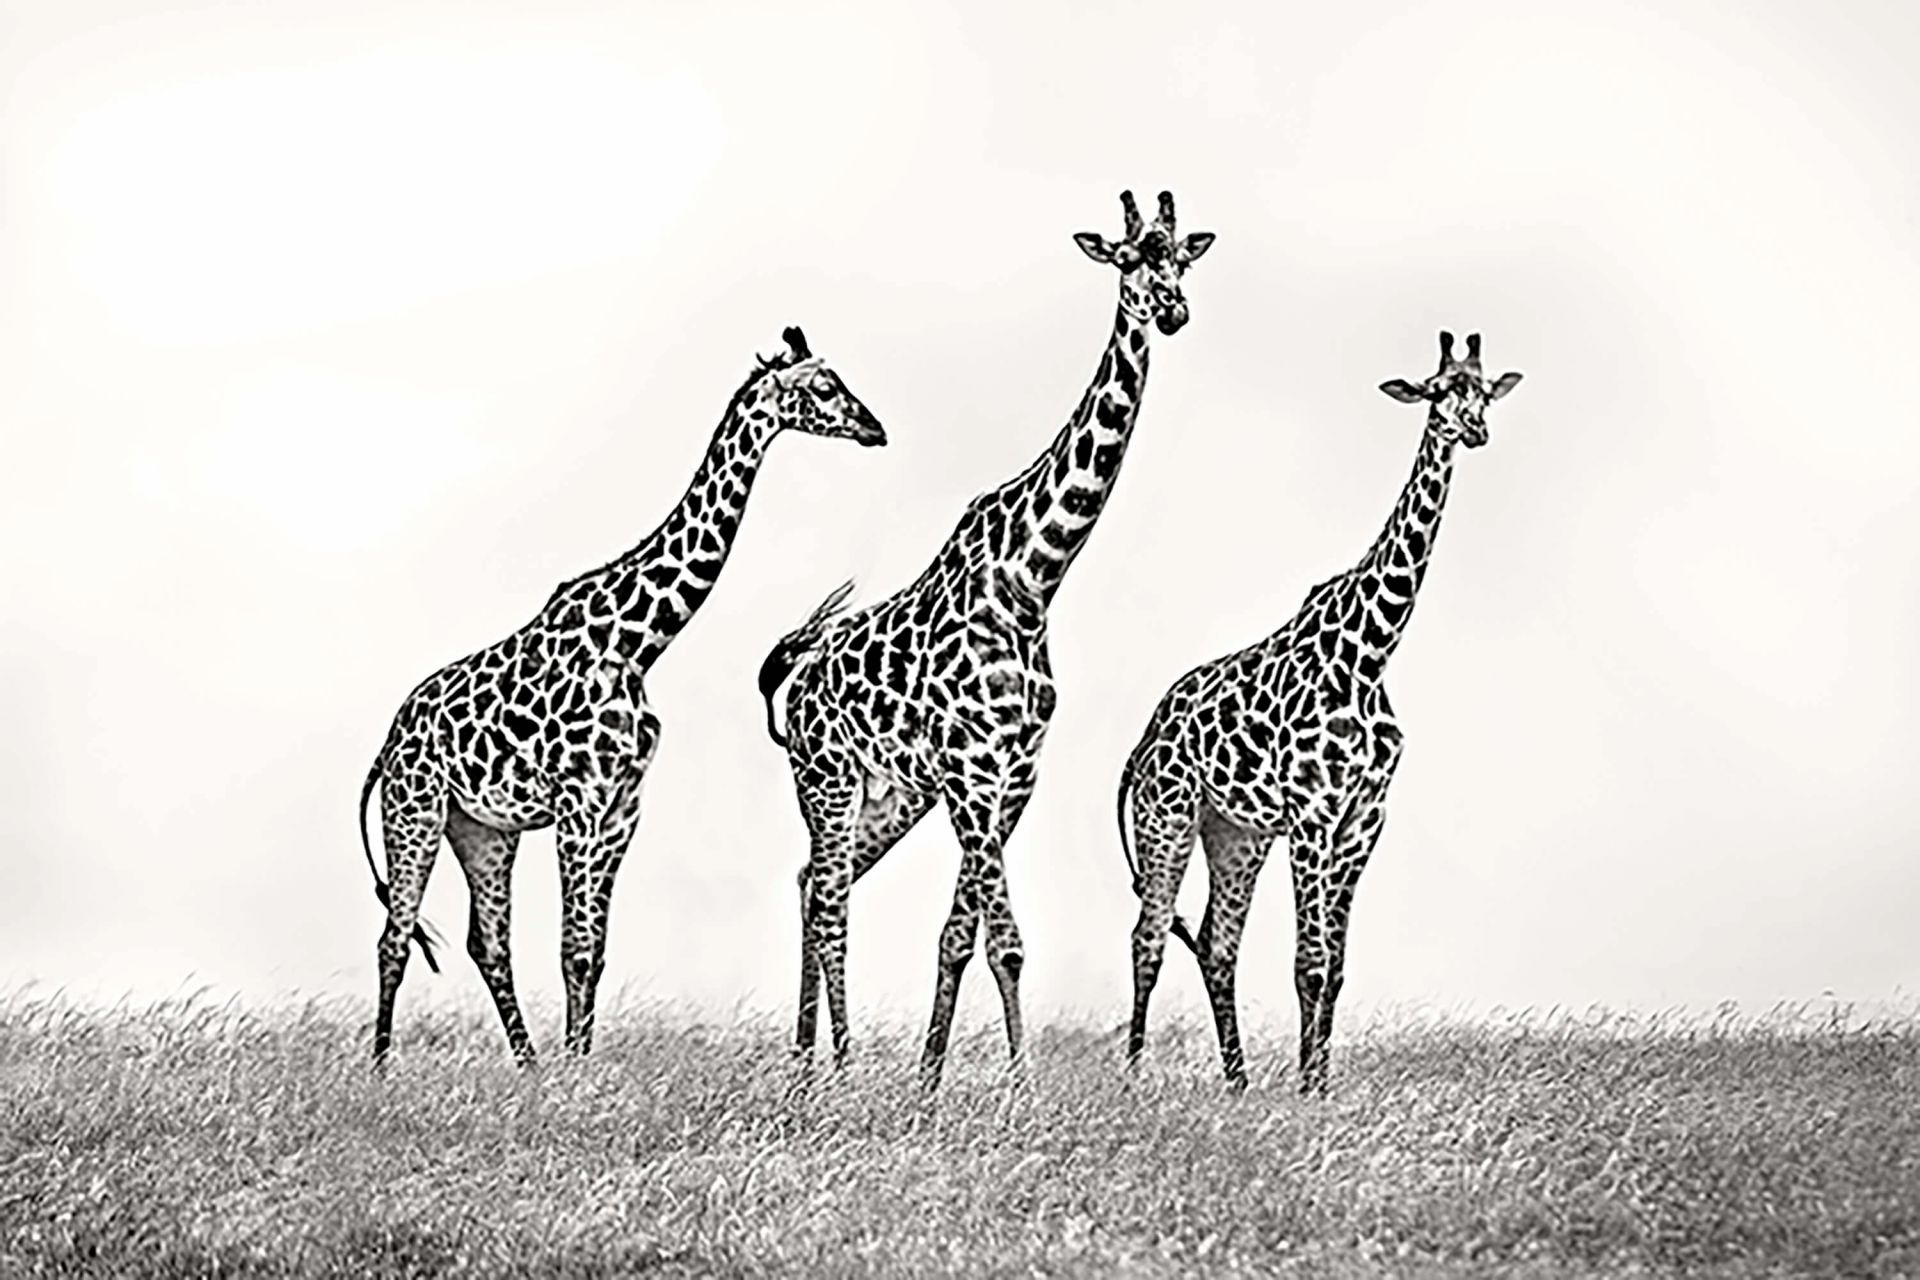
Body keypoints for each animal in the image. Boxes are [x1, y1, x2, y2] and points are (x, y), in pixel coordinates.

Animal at [357, 326, 886, 1065]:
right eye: (823, 386)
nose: (876, 429)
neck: (638, 642)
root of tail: (386, 743)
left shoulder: (621, 808)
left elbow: (595, 952)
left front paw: (578, 1064)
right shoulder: (579, 802)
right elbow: (574, 949)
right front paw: (576, 1073)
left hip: (482, 828)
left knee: (486, 942)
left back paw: (529, 1065)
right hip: (415, 811)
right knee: (395, 937)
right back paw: (381, 1068)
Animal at [757, 192, 1215, 1090]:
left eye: (1182, 257)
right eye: (1129, 258)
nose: (1174, 312)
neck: (1033, 578)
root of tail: (796, 680)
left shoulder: (1014, 775)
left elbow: (966, 935)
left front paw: (938, 1073)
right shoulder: (974, 772)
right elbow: (999, 939)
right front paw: (1011, 1084)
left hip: (894, 795)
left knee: (811, 881)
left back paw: (808, 1056)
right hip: (826, 781)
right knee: (826, 895)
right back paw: (828, 1065)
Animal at [1118, 330, 1523, 1095]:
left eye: (1483, 391)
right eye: (1436, 390)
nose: (1476, 431)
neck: (1371, 653)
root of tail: (1139, 746)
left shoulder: (1364, 819)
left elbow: (1333, 969)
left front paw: (1319, 1084)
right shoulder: (1312, 813)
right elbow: (1308, 964)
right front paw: (1309, 1090)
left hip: (1236, 833)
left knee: (1216, 944)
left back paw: (1239, 1082)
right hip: (1169, 819)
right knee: (1148, 937)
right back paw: (1130, 1078)